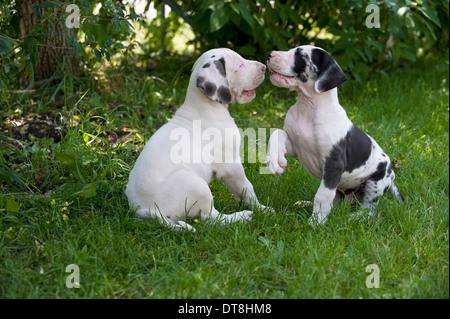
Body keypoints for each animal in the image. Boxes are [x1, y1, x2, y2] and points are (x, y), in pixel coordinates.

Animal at [125, 48, 268, 232]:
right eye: (240, 65)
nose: (264, 67)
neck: (205, 106)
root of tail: (144, 210)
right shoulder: (230, 166)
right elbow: (246, 188)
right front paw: (262, 209)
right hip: (195, 184)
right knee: (212, 219)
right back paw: (241, 217)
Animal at [268, 45, 404, 225]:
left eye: (300, 54)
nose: (269, 54)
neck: (308, 108)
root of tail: (392, 177)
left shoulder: (334, 164)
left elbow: (322, 195)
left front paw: (316, 222)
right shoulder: (297, 147)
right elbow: (277, 133)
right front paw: (274, 161)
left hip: (375, 183)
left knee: (368, 209)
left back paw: (353, 217)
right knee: (336, 203)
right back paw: (305, 203)